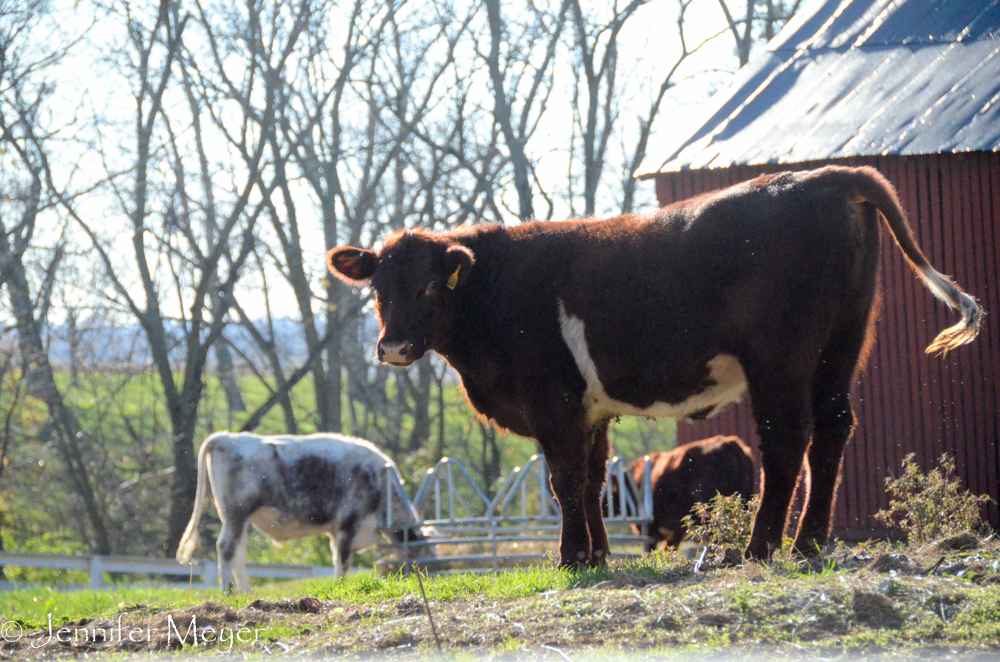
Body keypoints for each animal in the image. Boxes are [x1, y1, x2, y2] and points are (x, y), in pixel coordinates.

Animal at [324, 169, 980, 568]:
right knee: (834, 430)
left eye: (432, 285)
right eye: (379, 289)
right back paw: (809, 542)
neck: (496, 289)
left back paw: (761, 546)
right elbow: (591, 479)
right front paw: (597, 557)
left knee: (786, 439)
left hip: (781, 356)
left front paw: (570, 558)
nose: (393, 346)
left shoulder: (552, 401)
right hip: (842, 345)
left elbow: (563, 480)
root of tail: (822, 175)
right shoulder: (589, 409)